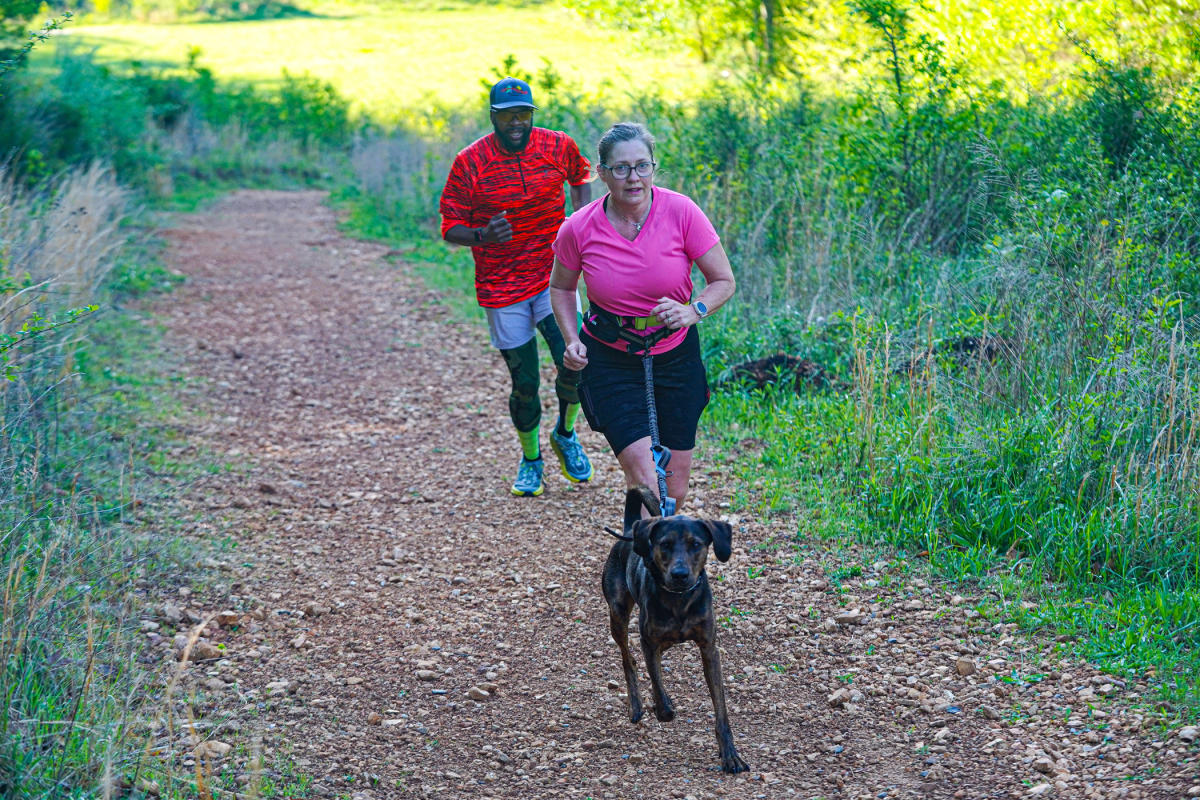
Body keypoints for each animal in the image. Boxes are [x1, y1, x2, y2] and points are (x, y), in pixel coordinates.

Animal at [604, 484, 744, 772]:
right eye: (665, 544)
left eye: (696, 544)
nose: (680, 575)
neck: (679, 599)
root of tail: (629, 530)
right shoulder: (648, 642)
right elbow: (657, 682)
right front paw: (664, 710)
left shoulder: (709, 649)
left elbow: (721, 709)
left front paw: (730, 754)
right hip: (618, 613)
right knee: (628, 659)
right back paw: (637, 705)